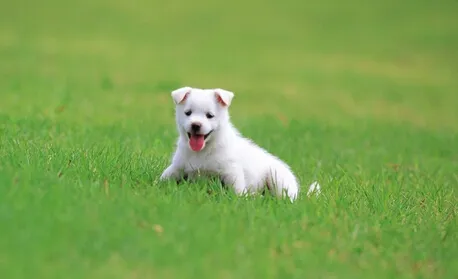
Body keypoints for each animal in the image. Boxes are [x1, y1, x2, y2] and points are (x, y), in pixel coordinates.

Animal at [159, 87, 320, 201]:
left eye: (210, 115)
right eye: (188, 113)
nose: (196, 125)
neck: (204, 150)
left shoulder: (232, 172)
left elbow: (237, 191)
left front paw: (241, 199)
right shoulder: (178, 166)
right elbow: (164, 177)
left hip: (278, 179)